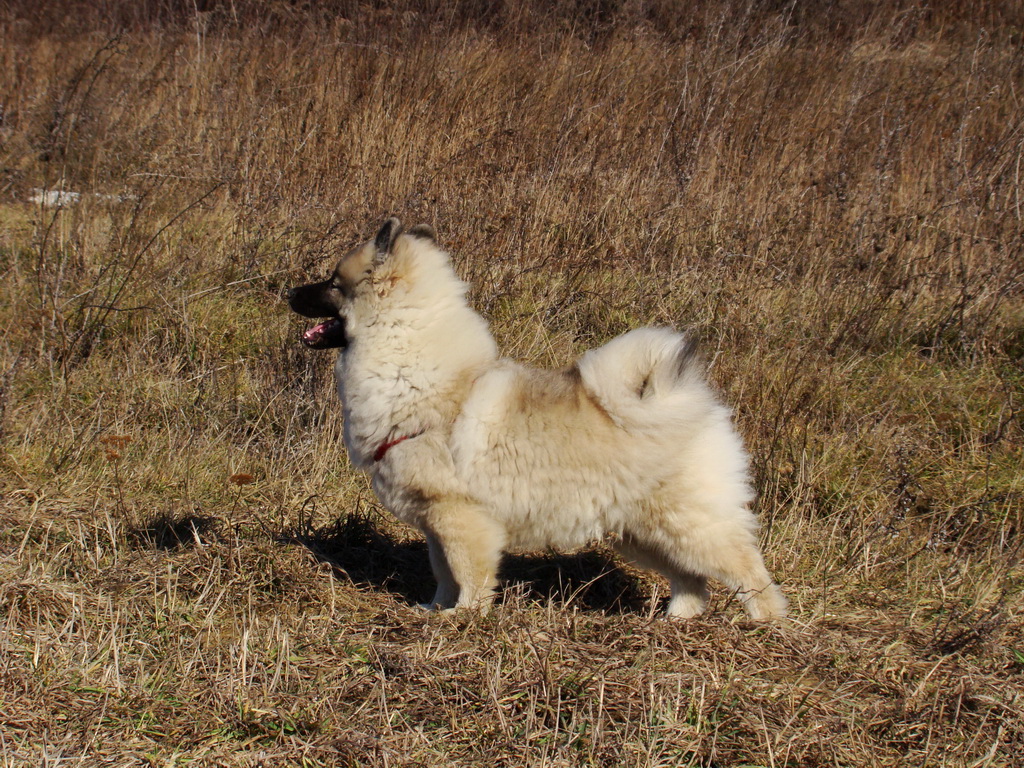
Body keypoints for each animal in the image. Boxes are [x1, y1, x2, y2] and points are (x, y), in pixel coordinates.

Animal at [292, 218, 786, 618]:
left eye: (332, 283)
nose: (290, 291)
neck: (410, 365)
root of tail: (689, 402)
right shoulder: (435, 522)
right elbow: (443, 574)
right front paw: (435, 610)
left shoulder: (458, 516)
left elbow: (468, 575)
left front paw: (463, 616)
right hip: (642, 532)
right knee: (692, 581)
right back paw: (676, 620)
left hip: (689, 524)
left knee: (747, 571)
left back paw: (763, 623)